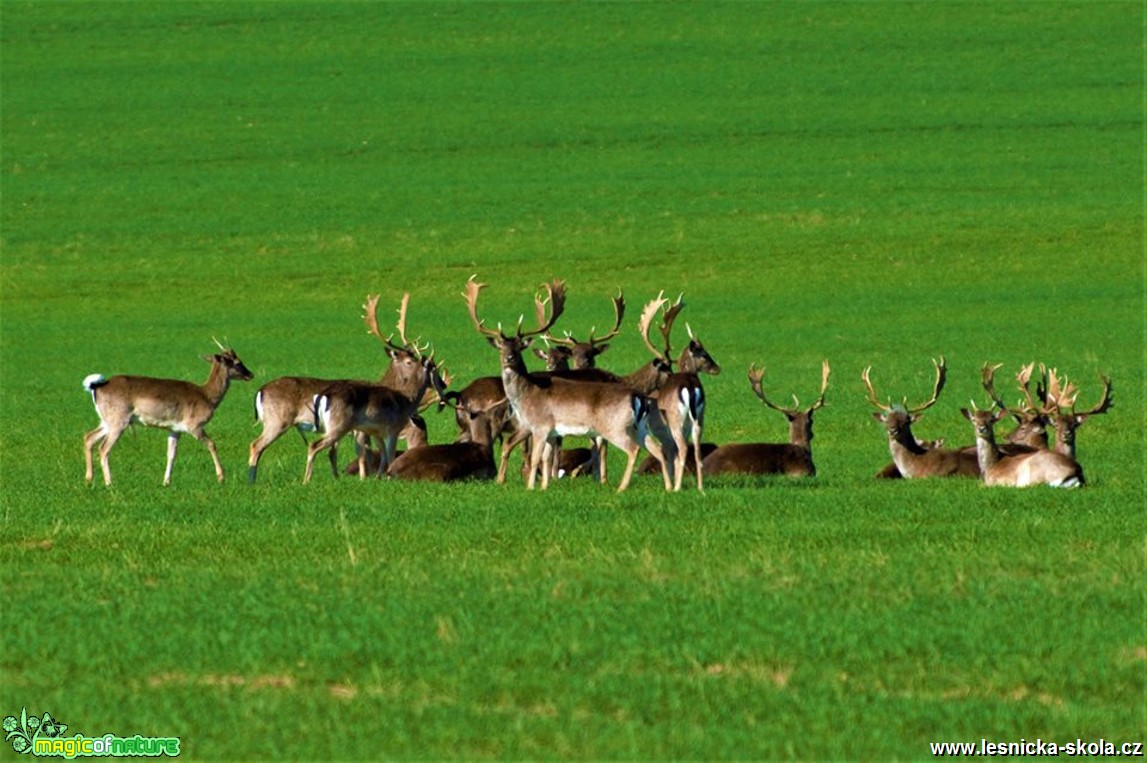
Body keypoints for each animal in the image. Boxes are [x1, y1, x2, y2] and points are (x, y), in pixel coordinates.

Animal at [83, 341, 255, 484]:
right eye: (237, 362)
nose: (250, 374)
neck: (207, 396)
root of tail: (96, 387)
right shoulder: (194, 426)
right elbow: (212, 444)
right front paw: (221, 477)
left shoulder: (175, 429)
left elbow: (171, 454)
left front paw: (166, 482)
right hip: (118, 420)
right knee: (103, 448)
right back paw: (109, 483)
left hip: (107, 420)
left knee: (89, 437)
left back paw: (89, 479)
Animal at [461, 276, 669, 491]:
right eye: (501, 347)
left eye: (519, 347)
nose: (508, 358)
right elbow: (555, 455)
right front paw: (550, 484)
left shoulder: (548, 427)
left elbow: (548, 455)